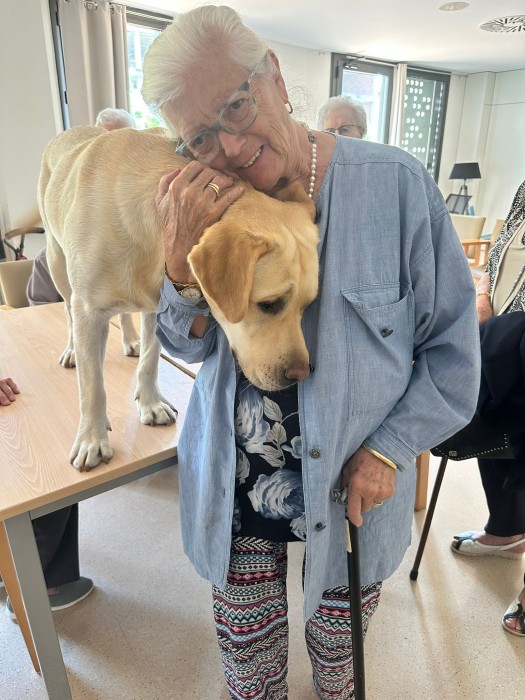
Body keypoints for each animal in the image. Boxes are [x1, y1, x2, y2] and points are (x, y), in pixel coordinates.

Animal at [34, 126, 319, 471]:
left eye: (307, 306)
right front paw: (92, 438)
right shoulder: (88, 310)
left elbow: (150, 360)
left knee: (125, 315)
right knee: (68, 312)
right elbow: (92, 387)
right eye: (269, 304)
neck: (153, 226)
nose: (301, 375)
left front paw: (150, 403)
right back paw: (72, 350)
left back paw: (130, 340)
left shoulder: (158, 306)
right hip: (57, 265)